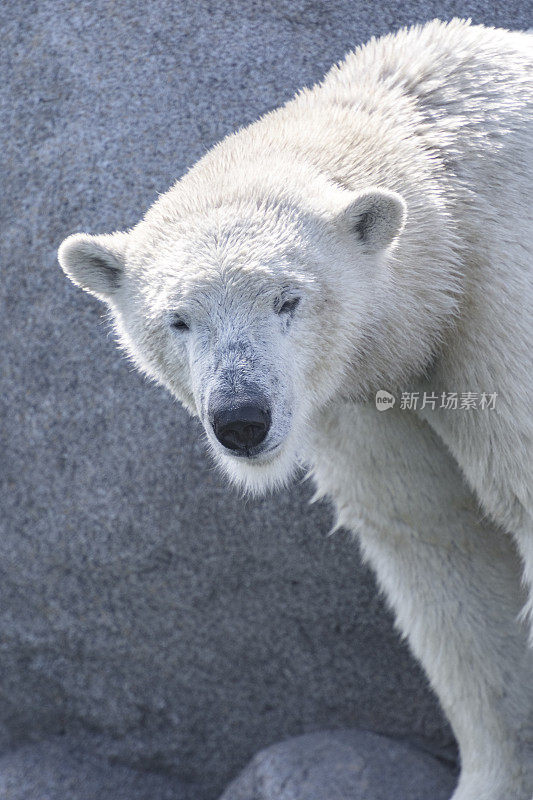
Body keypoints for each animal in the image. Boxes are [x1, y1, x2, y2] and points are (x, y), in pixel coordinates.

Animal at [58, 18, 532, 800]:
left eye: (288, 299)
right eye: (179, 319)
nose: (241, 419)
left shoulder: (494, 308)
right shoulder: (362, 394)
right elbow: (436, 539)